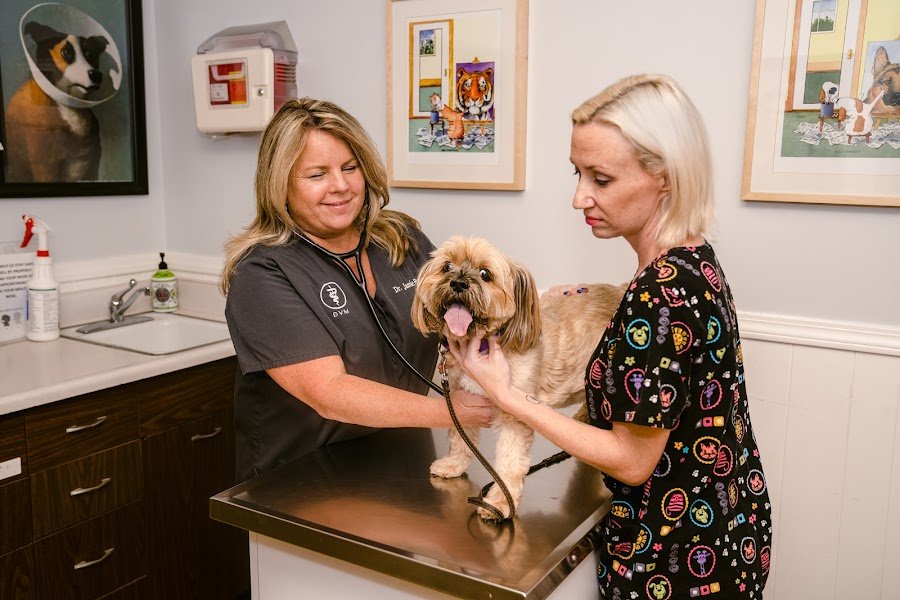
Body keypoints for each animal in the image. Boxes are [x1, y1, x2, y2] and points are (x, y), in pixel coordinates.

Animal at [4, 21, 109, 182]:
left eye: (89, 53)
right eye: (65, 52)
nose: (97, 75)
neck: (67, 107)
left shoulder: (91, 169)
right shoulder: (46, 169)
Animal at [411, 236, 623, 520]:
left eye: (485, 274)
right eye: (446, 266)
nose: (458, 283)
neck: (481, 345)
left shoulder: (515, 414)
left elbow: (509, 463)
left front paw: (500, 502)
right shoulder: (459, 398)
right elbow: (460, 437)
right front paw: (454, 464)